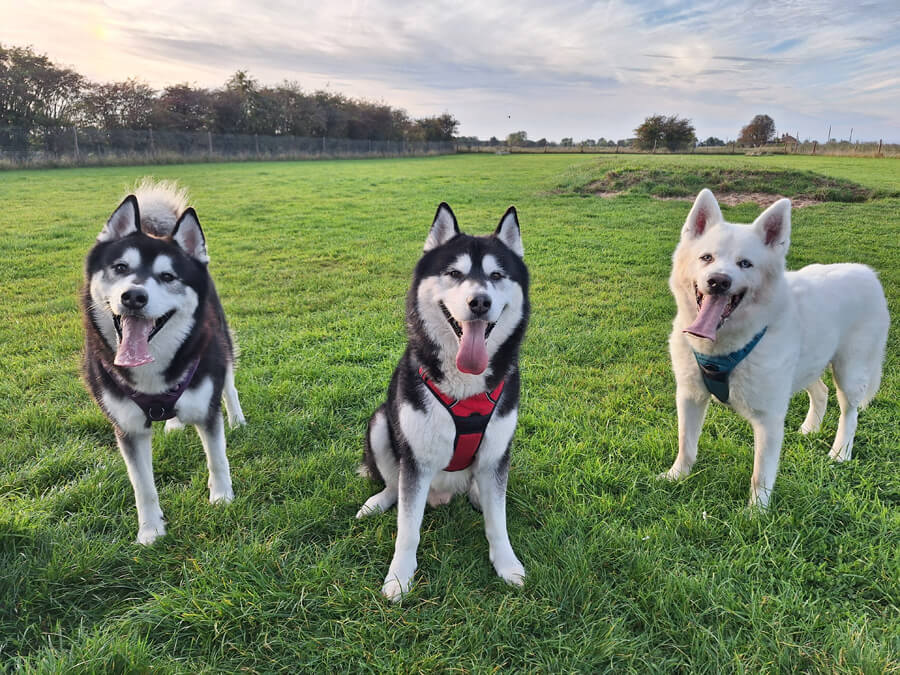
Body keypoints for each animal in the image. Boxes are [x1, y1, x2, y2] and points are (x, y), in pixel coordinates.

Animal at [664, 189, 888, 508]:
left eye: (745, 264)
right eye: (706, 257)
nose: (718, 281)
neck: (723, 348)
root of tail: (868, 273)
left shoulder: (769, 419)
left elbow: (761, 474)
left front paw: (755, 513)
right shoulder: (690, 397)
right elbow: (686, 445)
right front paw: (676, 477)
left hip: (849, 372)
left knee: (850, 413)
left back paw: (840, 453)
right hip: (806, 367)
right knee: (821, 391)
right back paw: (810, 429)